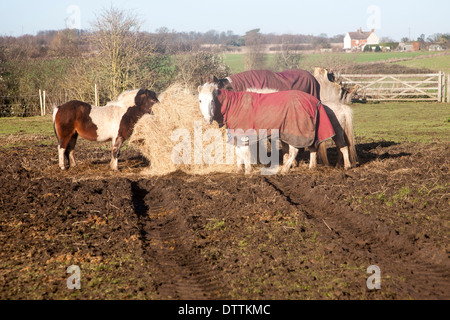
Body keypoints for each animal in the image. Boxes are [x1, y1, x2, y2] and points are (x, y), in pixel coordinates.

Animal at [199, 83, 336, 175]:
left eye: (212, 100)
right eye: (200, 100)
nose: (207, 119)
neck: (234, 105)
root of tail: (314, 101)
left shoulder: (244, 135)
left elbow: (245, 152)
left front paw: (247, 171)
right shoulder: (236, 135)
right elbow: (238, 153)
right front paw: (239, 169)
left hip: (296, 131)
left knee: (295, 151)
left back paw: (284, 169)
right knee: (312, 148)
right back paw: (311, 166)